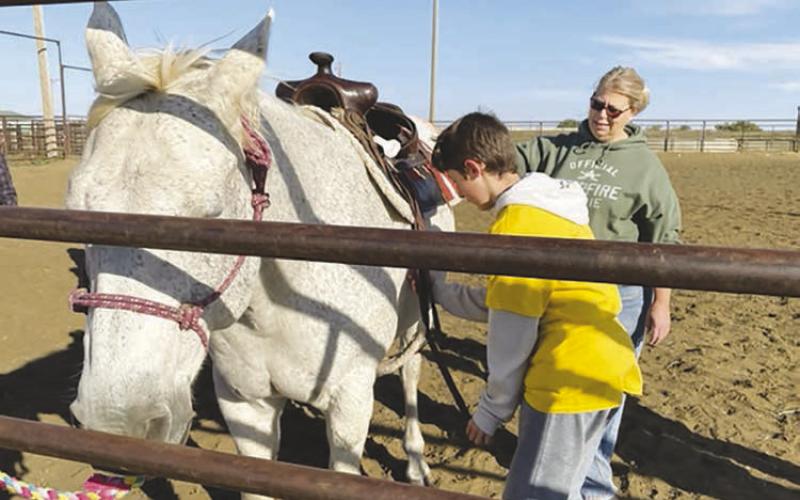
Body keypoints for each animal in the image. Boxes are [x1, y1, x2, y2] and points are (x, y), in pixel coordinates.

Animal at [66, 2, 454, 495]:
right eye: (75, 211)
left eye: (213, 215)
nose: (117, 422)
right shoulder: (244, 403)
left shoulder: (350, 403)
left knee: (409, 374)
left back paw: (417, 462)